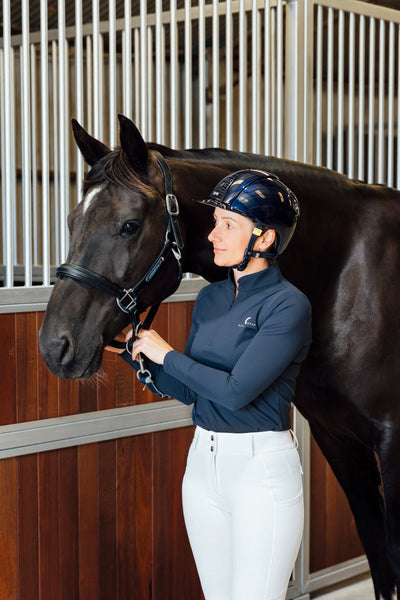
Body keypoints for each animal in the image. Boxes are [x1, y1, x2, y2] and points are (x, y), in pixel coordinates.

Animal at [39, 115, 400, 596]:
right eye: (72, 221)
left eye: (130, 225)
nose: (54, 346)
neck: (348, 273)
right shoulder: (339, 438)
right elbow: (378, 554)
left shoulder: (393, 443)